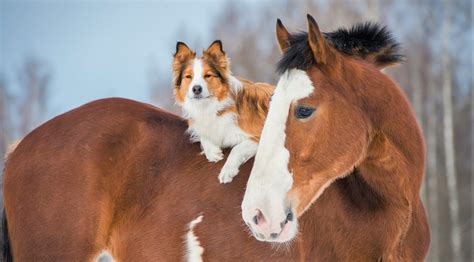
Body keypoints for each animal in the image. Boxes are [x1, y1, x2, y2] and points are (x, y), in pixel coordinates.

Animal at [173, 41, 274, 183]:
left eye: (208, 75)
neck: (212, 107)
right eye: (188, 77)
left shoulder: (259, 135)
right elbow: (204, 135)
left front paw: (227, 171)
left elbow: (236, 149)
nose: (196, 89)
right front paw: (212, 152)